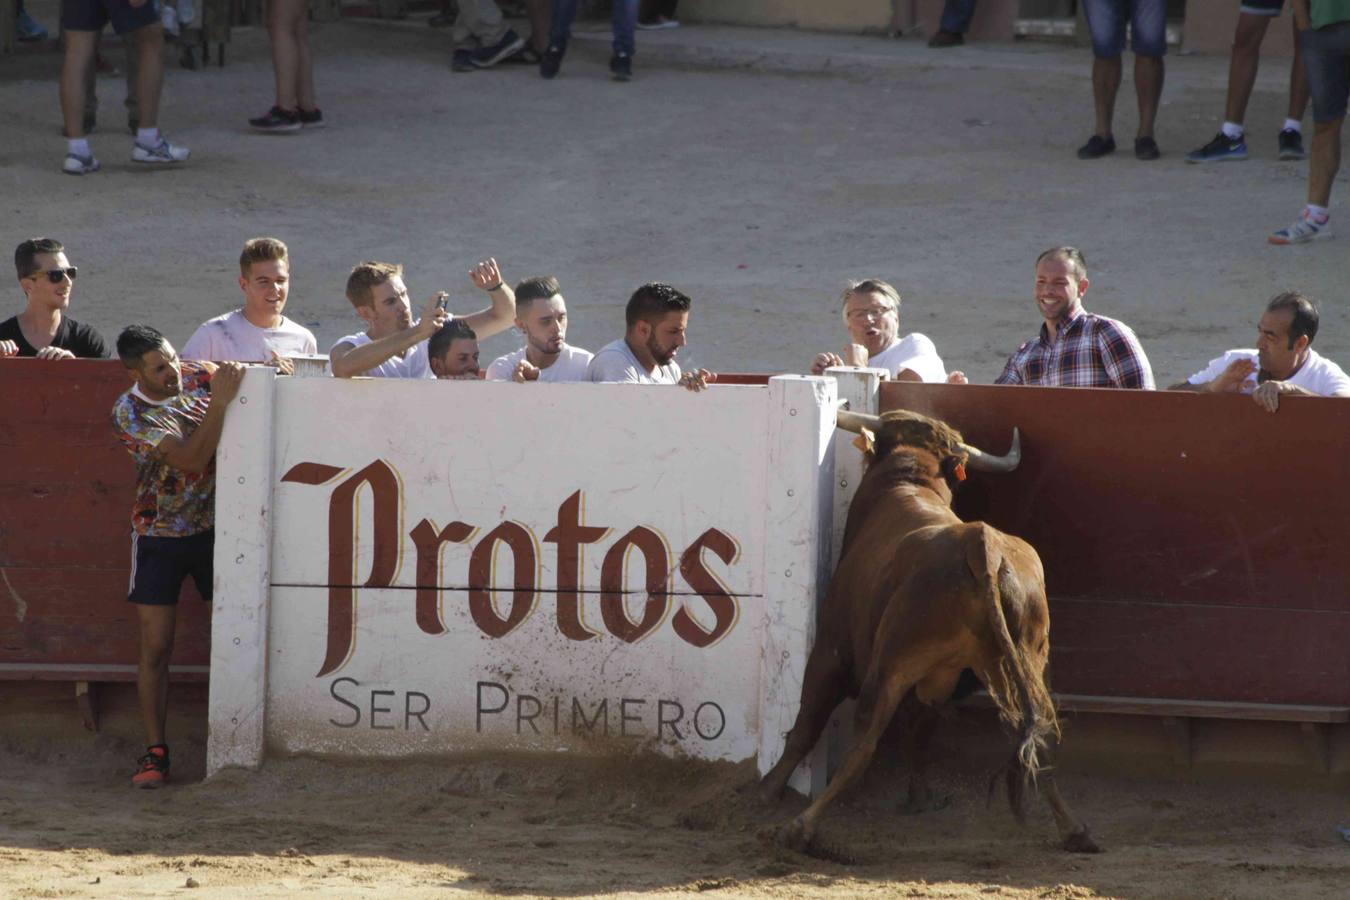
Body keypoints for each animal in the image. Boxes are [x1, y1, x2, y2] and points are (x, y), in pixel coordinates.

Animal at [761, 412, 1096, 858]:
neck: (910, 480)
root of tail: (982, 547)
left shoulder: (830, 653)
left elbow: (807, 723)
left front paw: (769, 788)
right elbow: (916, 735)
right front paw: (919, 797)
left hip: (890, 665)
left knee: (863, 743)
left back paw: (800, 827)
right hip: (1019, 666)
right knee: (1037, 734)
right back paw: (1075, 829)